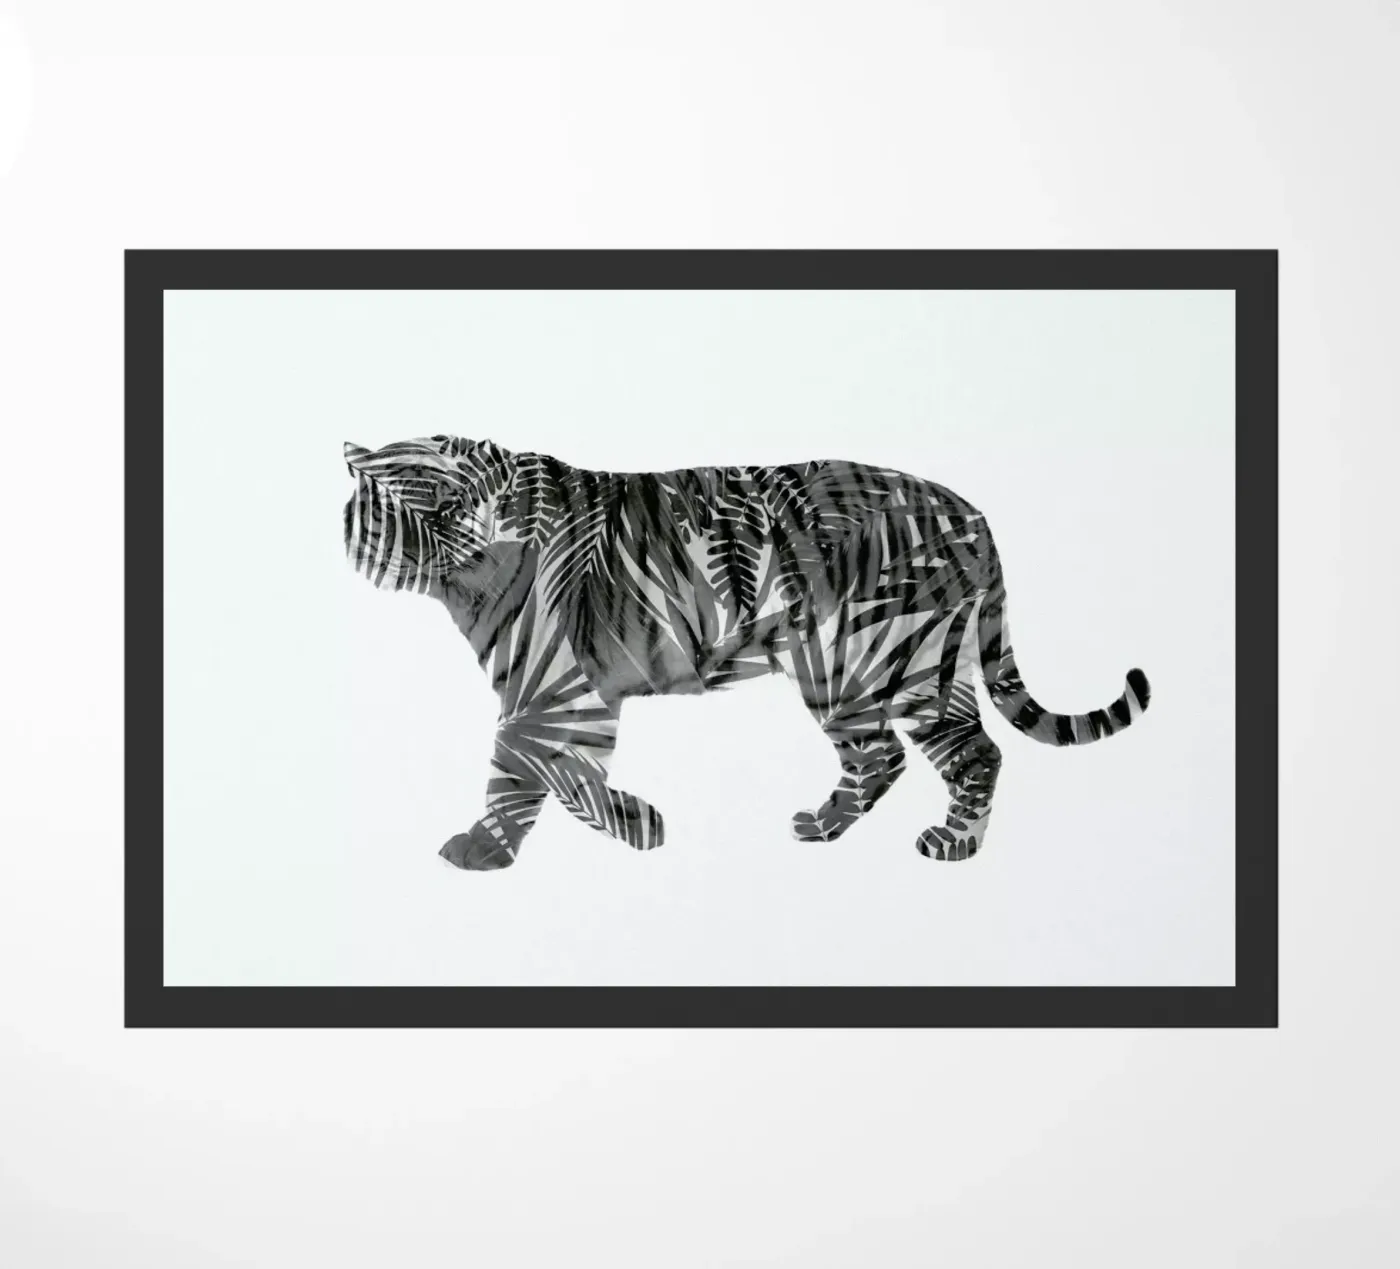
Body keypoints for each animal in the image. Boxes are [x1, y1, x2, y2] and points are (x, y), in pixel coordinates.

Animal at [343, 435, 1150, 870]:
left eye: (460, 503)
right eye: (416, 509)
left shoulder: (553, 688)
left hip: (878, 660)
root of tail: (971, 510)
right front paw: (616, 827)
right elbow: (544, 772)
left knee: (946, 753)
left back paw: (942, 843)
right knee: (905, 755)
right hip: (890, 671)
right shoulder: (557, 695)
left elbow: (530, 770)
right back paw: (843, 829)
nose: (467, 538)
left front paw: (608, 830)